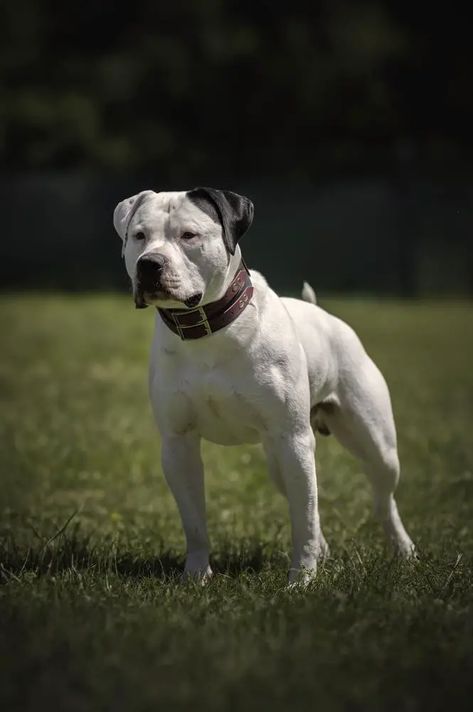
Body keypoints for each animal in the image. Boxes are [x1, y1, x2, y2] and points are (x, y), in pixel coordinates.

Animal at [113, 186, 412, 580]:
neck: (208, 327)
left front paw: (301, 579)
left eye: (189, 235)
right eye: (139, 236)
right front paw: (196, 576)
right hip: (277, 458)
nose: (149, 264)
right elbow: (194, 523)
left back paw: (403, 550)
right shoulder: (178, 445)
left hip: (374, 445)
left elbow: (303, 519)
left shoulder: (293, 438)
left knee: (381, 499)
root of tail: (323, 314)